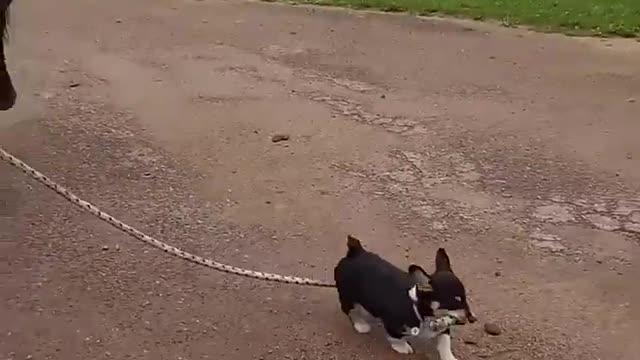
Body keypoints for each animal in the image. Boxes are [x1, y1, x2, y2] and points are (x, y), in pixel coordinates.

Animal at [336, 235, 476, 358]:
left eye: (465, 297)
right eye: (455, 300)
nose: (473, 319)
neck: (420, 311)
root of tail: (355, 252)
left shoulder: (444, 330)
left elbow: (445, 343)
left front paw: (449, 357)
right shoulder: (391, 322)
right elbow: (395, 337)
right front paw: (402, 347)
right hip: (347, 296)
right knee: (349, 310)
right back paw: (361, 325)